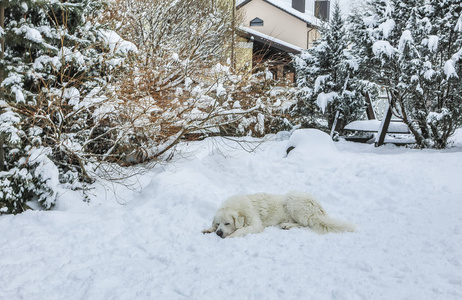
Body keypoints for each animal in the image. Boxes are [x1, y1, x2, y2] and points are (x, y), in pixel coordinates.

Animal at [200, 192, 356, 239]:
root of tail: (318, 207)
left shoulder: (256, 225)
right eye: (218, 223)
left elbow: (241, 230)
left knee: (305, 224)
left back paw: (287, 225)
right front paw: (208, 229)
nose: (219, 233)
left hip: (292, 201)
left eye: (227, 223)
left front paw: (232, 236)